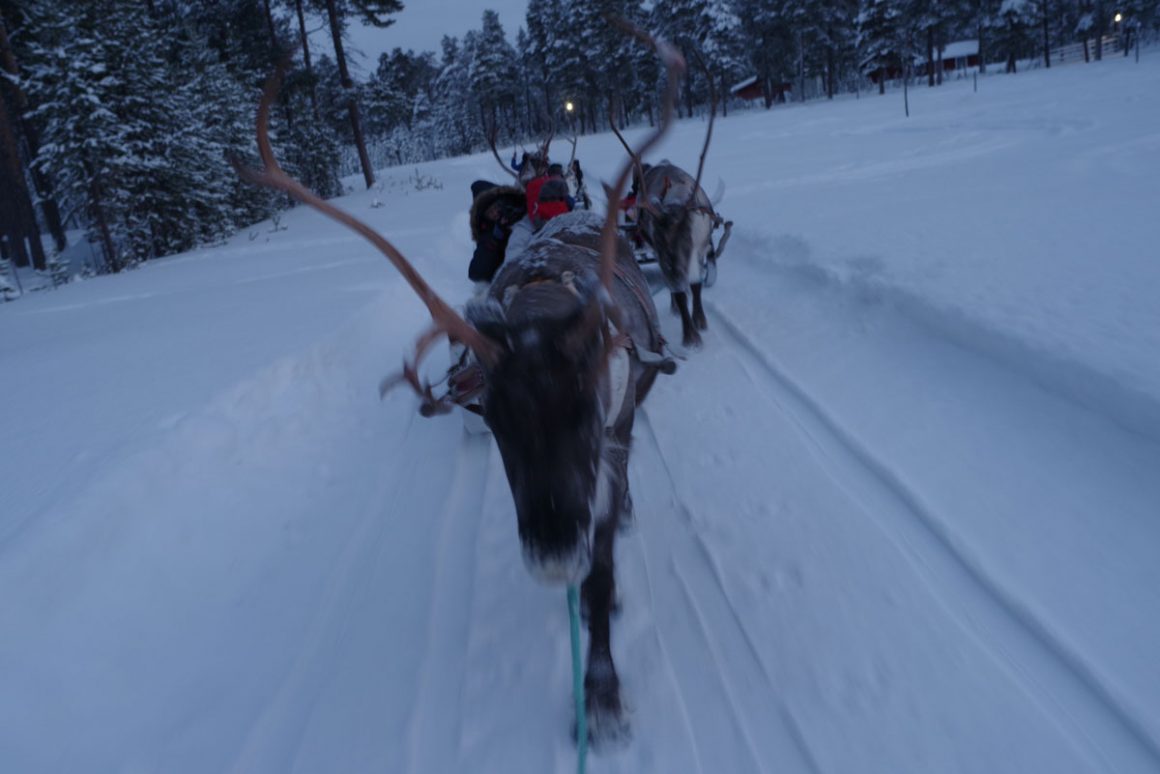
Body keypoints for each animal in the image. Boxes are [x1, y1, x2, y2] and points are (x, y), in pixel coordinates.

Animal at [235, 29, 684, 748]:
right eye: (493, 419)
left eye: (586, 410)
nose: (554, 555)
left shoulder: (612, 438)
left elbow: (603, 567)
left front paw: (603, 699)